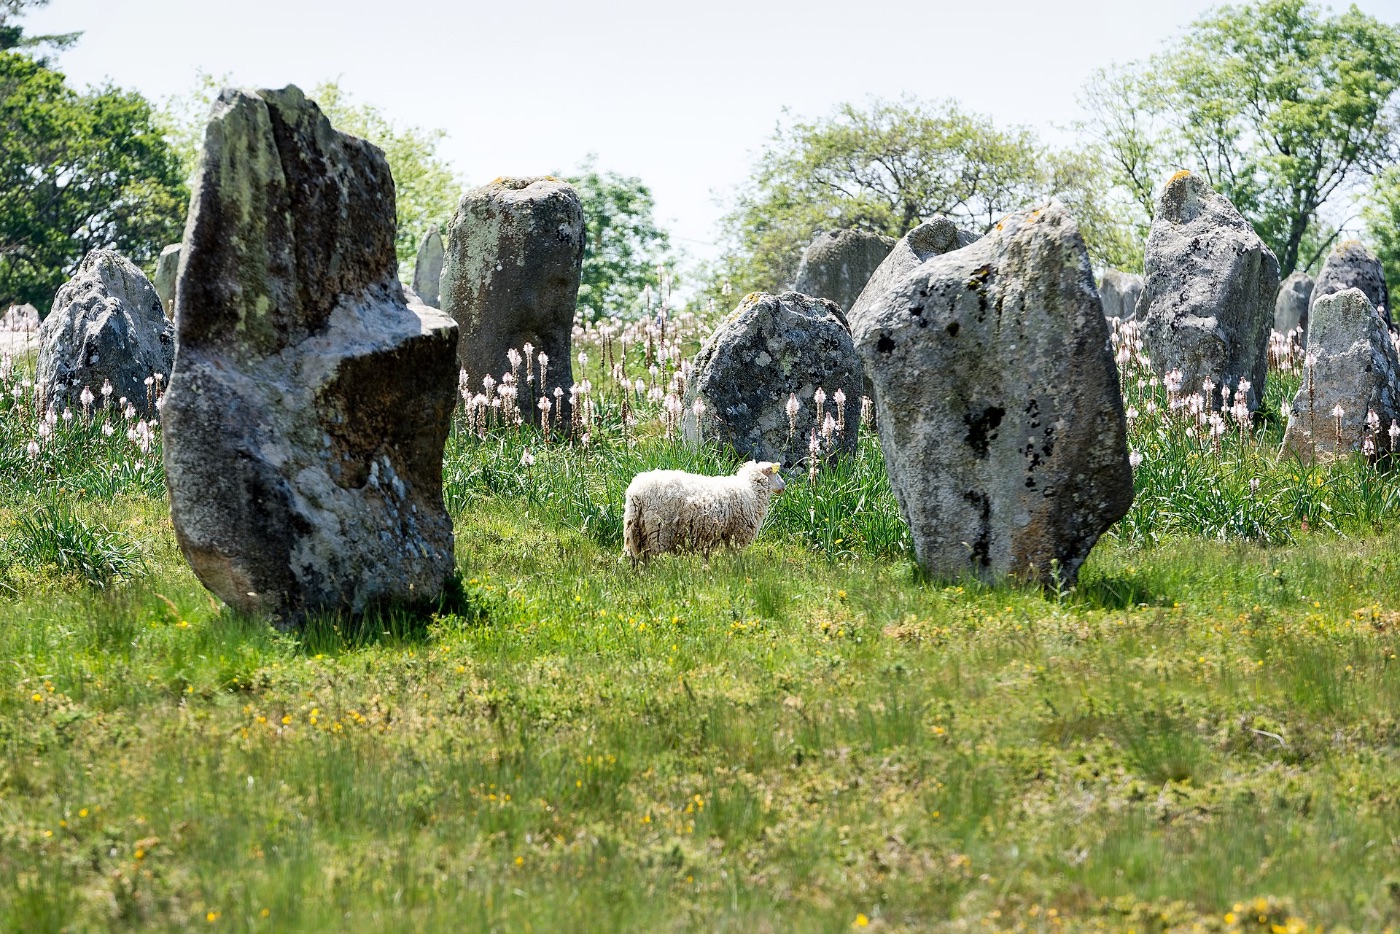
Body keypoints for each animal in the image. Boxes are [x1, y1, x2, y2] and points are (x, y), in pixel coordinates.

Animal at [623, 461, 786, 562]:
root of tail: (635, 493)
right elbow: (735, 552)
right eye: (775, 473)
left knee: (638, 557)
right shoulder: (739, 530)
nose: (784, 485)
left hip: (637, 529)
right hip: (658, 530)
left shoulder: (726, 532)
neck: (751, 488)